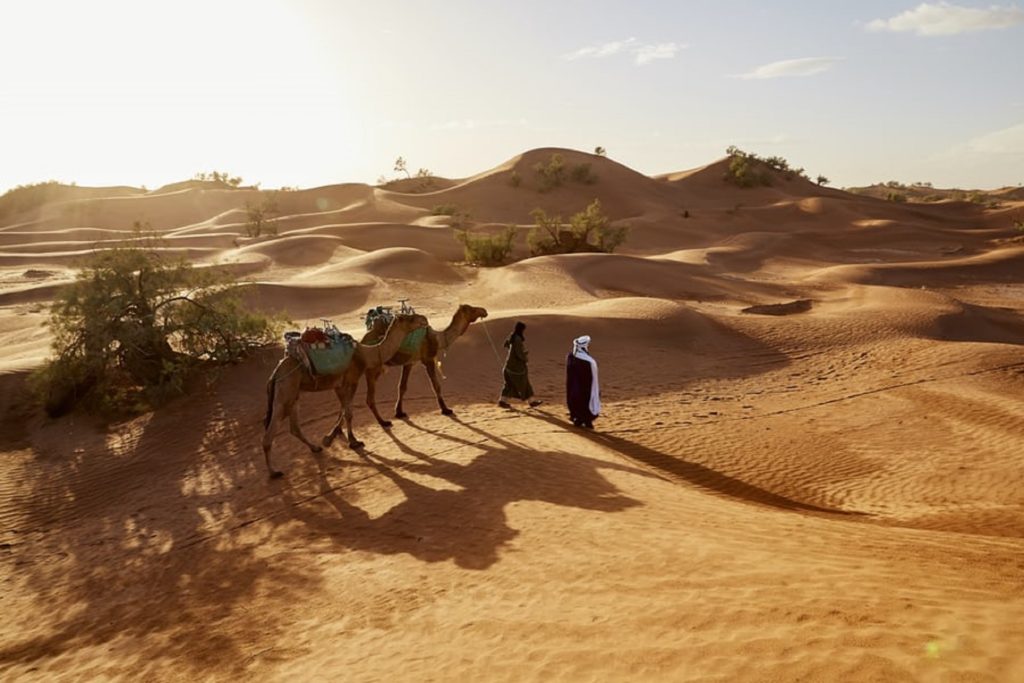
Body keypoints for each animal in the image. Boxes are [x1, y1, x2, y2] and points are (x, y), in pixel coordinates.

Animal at [264, 313, 428, 479]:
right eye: (408, 318)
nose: (424, 319)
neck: (365, 354)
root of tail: (275, 373)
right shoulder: (351, 379)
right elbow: (349, 412)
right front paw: (354, 442)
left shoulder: (340, 384)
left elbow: (344, 409)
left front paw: (331, 437)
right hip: (284, 392)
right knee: (270, 432)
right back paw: (274, 472)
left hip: (294, 394)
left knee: (294, 427)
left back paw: (315, 448)